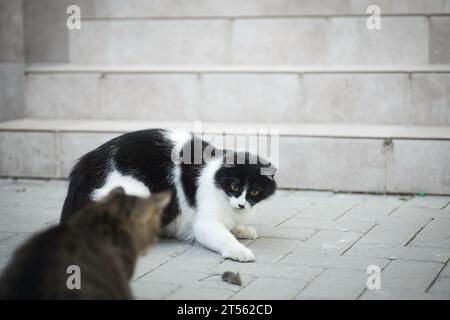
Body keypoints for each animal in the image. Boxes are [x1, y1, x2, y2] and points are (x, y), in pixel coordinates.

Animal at [61, 129, 276, 262]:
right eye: (234, 186)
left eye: (255, 192)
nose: (241, 204)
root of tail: (86, 163)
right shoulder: (204, 224)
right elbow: (224, 237)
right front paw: (240, 251)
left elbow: (232, 226)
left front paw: (242, 229)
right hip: (137, 190)